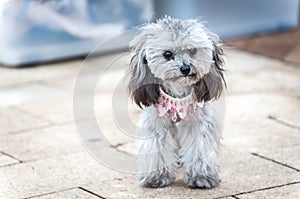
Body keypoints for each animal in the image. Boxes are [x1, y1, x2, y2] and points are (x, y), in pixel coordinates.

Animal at [127, 15, 225, 188]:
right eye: (167, 53)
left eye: (193, 50)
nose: (186, 68)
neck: (178, 91)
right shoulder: (157, 123)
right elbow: (158, 147)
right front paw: (156, 176)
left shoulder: (198, 121)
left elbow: (198, 147)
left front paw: (201, 177)